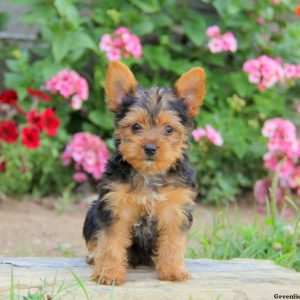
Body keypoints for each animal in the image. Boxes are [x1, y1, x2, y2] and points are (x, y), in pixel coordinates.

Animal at [84, 61, 206, 286]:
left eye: (169, 129)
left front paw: (173, 270)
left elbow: (173, 242)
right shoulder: (115, 207)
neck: (150, 174)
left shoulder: (175, 210)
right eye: (136, 126)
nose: (150, 148)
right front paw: (109, 273)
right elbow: (110, 243)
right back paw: (93, 256)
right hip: (94, 209)